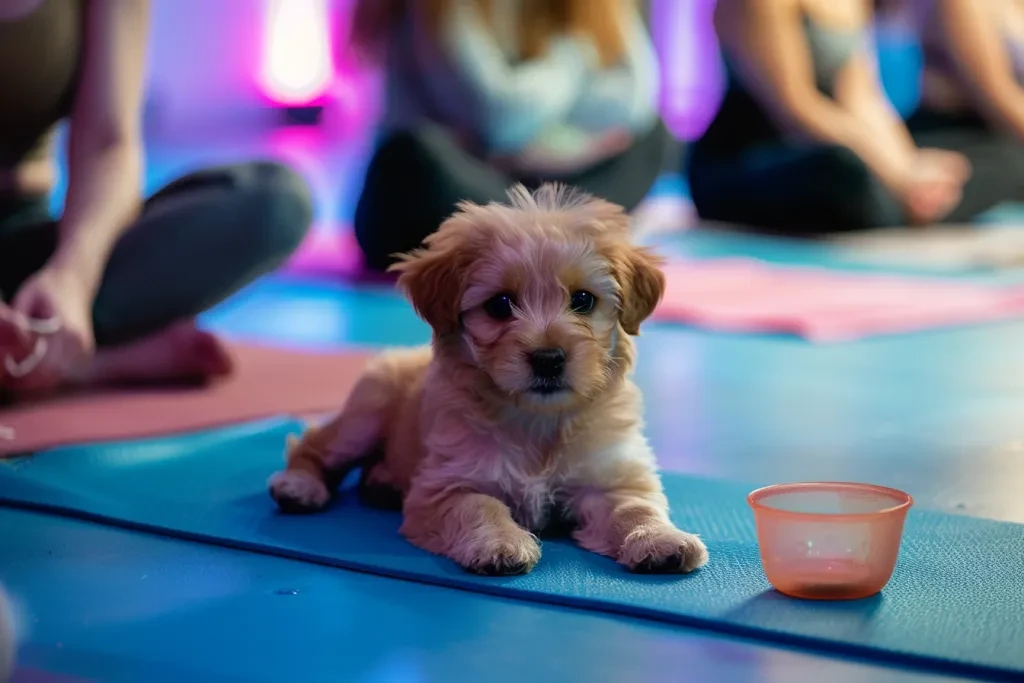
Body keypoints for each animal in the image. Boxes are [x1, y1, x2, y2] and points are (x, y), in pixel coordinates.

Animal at [268, 183, 708, 577]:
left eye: (583, 300)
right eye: (500, 305)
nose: (548, 359)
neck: (538, 420)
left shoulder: (610, 478)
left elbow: (634, 507)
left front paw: (659, 539)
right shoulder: (449, 484)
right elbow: (481, 506)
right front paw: (501, 542)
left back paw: (382, 483)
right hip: (365, 414)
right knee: (314, 445)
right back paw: (298, 486)